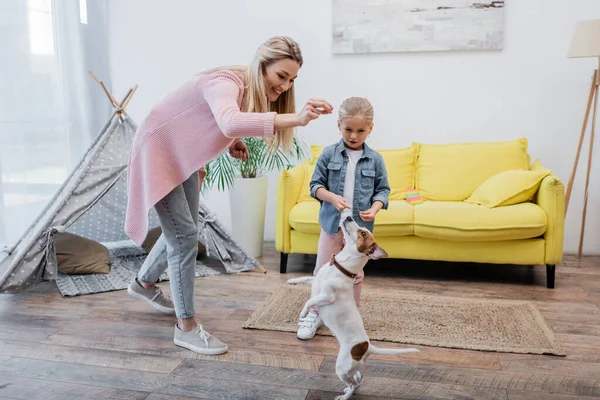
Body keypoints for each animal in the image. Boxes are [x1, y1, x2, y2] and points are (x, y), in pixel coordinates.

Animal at [288, 217, 420, 398]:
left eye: (363, 233)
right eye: (361, 228)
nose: (349, 217)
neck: (340, 267)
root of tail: (366, 347)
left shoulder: (326, 296)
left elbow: (310, 300)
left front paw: (303, 312)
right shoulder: (314, 282)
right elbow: (304, 279)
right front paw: (291, 281)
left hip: (341, 368)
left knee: (353, 384)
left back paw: (344, 396)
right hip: (353, 368)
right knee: (358, 377)